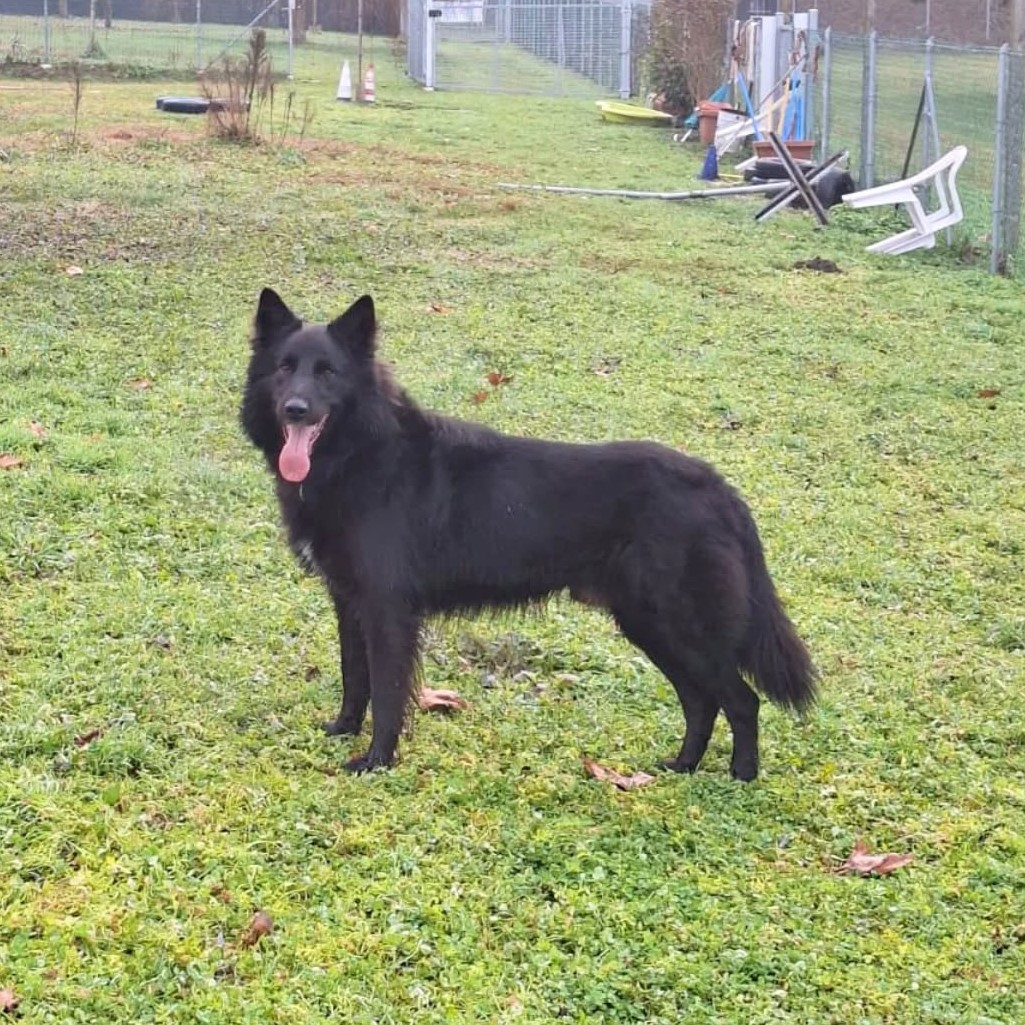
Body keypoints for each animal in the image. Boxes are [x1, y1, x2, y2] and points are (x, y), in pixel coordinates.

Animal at [240, 290, 817, 779]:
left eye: (328, 373)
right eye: (286, 368)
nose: (295, 409)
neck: (358, 454)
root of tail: (719, 488)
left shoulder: (387, 611)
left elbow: (385, 691)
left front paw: (377, 759)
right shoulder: (349, 602)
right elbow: (353, 676)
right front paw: (342, 729)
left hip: (679, 624)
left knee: (740, 700)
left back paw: (740, 778)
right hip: (649, 624)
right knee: (702, 700)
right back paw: (682, 766)